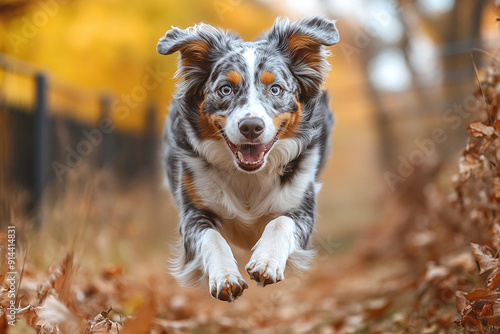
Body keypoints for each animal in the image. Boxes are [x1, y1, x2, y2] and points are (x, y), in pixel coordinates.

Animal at [156, 16, 340, 302]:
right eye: (225, 89)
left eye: (275, 89)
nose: (251, 127)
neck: (248, 176)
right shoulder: (193, 212)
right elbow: (212, 238)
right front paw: (225, 277)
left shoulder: (302, 207)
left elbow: (280, 222)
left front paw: (266, 262)